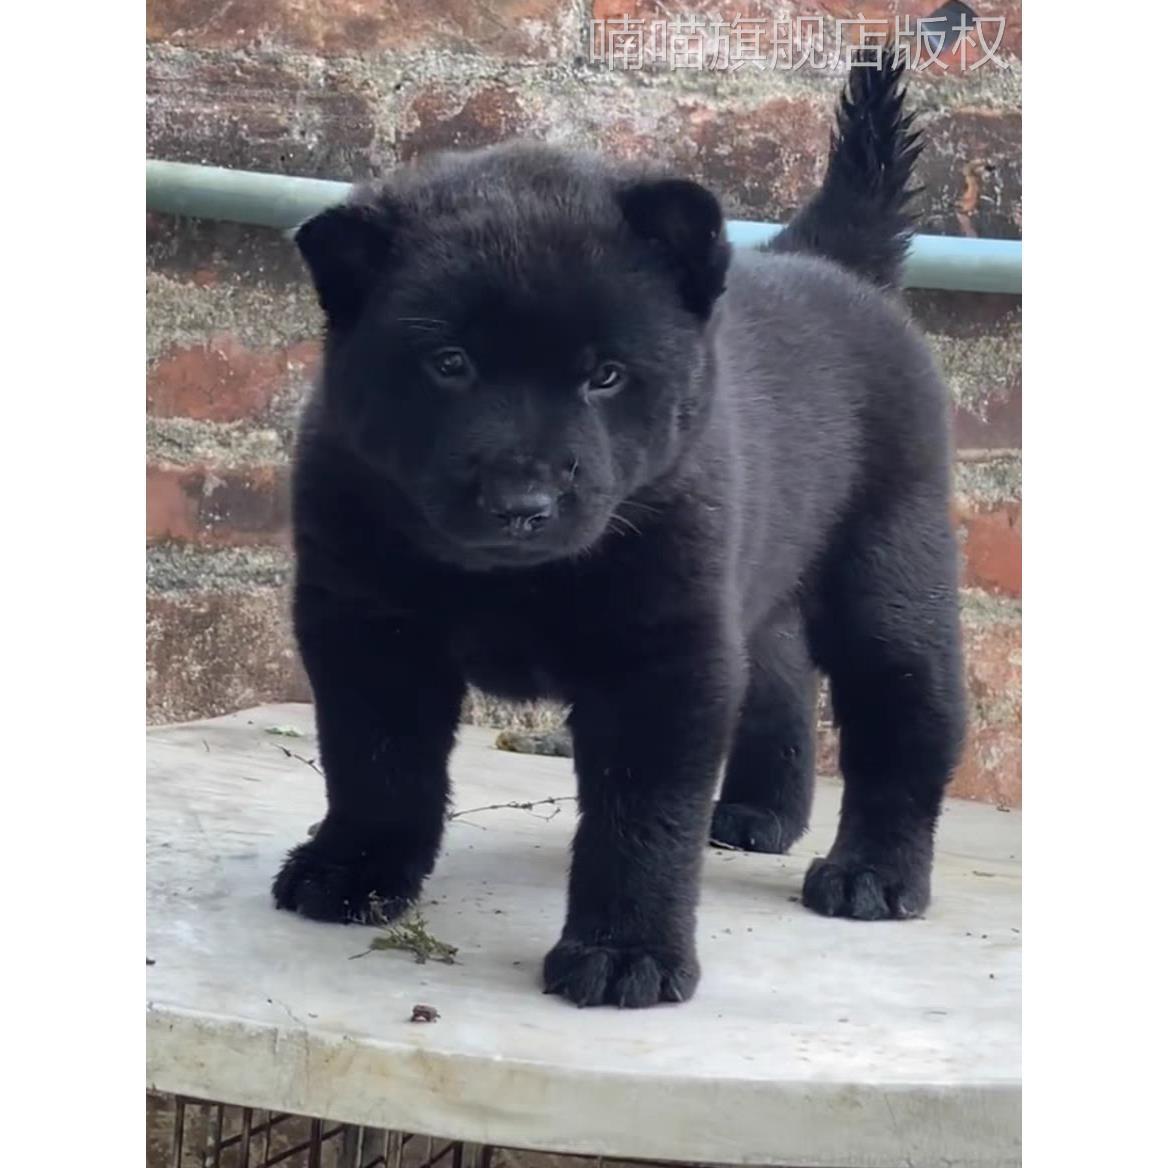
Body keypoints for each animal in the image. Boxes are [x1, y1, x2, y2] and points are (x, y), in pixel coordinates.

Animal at [273, 52, 967, 1004]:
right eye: (450, 364)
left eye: (605, 375)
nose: (522, 502)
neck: (512, 577)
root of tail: (829, 263)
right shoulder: (366, 627)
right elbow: (375, 763)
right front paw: (354, 871)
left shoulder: (662, 656)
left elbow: (641, 820)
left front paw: (625, 953)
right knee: (781, 676)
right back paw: (757, 813)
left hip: (888, 578)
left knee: (906, 718)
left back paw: (873, 875)